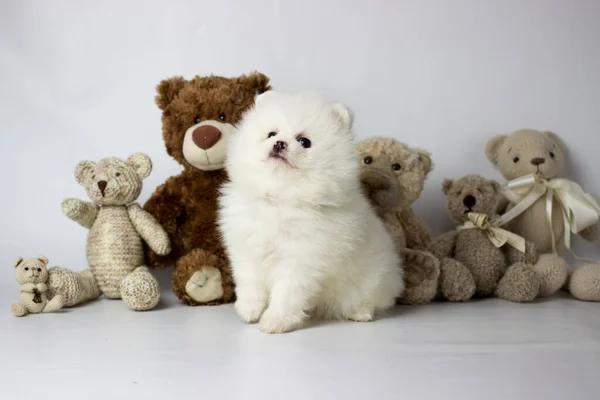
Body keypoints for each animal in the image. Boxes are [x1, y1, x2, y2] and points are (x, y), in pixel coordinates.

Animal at [216, 91, 404, 334]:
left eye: (304, 142)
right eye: (271, 134)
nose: (279, 143)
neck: (280, 198)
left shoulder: (302, 259)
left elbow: (287, 293)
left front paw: (276, 320)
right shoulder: (247, 246)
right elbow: (249, 281)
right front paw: (249, 309)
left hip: (371, 279)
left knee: (369, 298)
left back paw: (360, 312)